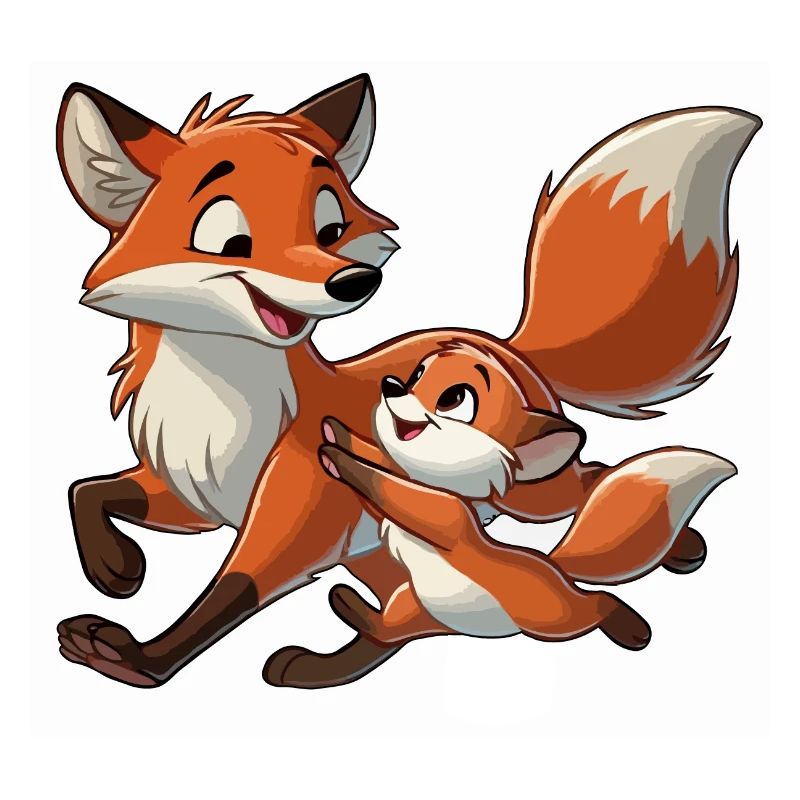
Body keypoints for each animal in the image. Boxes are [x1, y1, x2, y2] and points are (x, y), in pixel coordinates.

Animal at [315, 342, 735, 652]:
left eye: (454, 397)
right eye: (417, 375)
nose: (392, 385)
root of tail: (555, 567)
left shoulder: (443, 514)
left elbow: (386, 484)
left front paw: (337, 456)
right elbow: (380, 460)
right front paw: (337, 432)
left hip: (554, 619)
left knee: (598, 603)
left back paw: (632, 627)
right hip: (412, 607)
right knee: (384, 627)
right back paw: (347, 605)